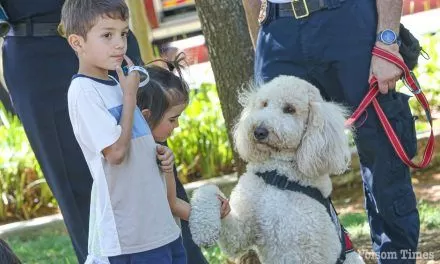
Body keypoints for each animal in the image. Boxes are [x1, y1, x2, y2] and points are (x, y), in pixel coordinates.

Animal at [189, 75, 364, 262]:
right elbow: (209, 190)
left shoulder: (310, 248)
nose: (259, 131)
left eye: (289, 109)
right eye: (264, 104)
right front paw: (203, 228)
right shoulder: (241, 231)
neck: (279, 176)